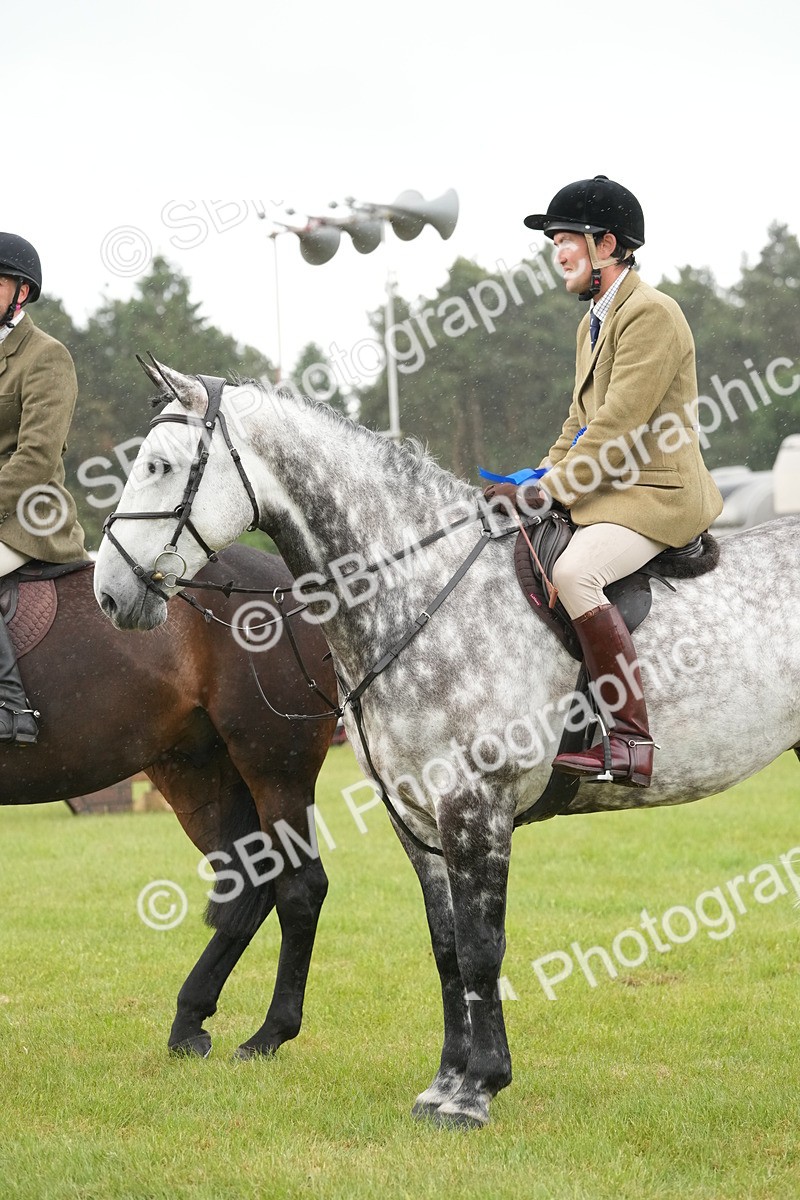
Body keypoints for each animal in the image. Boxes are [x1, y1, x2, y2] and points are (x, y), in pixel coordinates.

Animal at [3, 544, 336, 1060]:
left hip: (277, 768)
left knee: (301, 888)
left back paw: (269, 1034)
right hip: (197, 772)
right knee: (252, 879)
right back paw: (189, 1021)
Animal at [92, 362, 800, 1129]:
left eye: (160, 467)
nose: (109, 595)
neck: (418, 588)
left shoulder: (475, 806)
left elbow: (483, 949)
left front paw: (478, 1090)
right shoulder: (418, 818)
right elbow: (449, 948)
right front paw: (446, 1083)